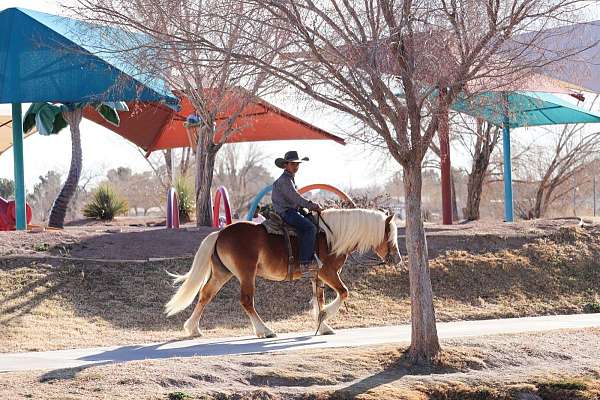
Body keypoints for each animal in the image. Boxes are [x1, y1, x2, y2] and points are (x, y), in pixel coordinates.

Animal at [164, 209, 404, 338]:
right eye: (389, 234)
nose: (397, 258)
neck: (331, 237)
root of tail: (221, 233)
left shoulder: (317, 277)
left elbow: (319, 298)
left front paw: (323, 325)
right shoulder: (328, 273)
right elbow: (344, 293)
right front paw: (324, 316)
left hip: (222, 274)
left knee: (205, 295)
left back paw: (192, 329)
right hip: (246, 274)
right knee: (246, 301)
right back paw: (264, 329)